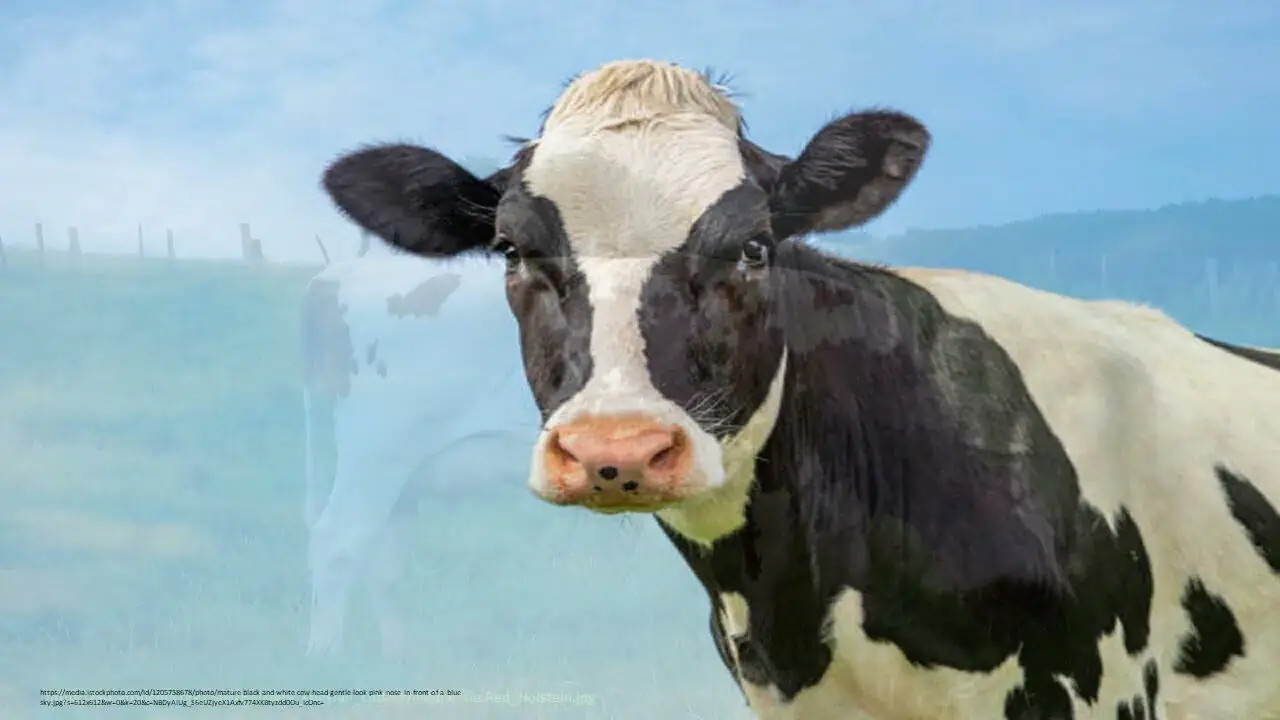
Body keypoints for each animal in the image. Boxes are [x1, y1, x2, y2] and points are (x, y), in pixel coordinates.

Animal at [300, 240, 540, 657]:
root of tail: (338, 274)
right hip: (376, 454)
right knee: (337, 543)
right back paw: (325, 657)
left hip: (400, 476)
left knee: (382, 565)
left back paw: (398, 658)